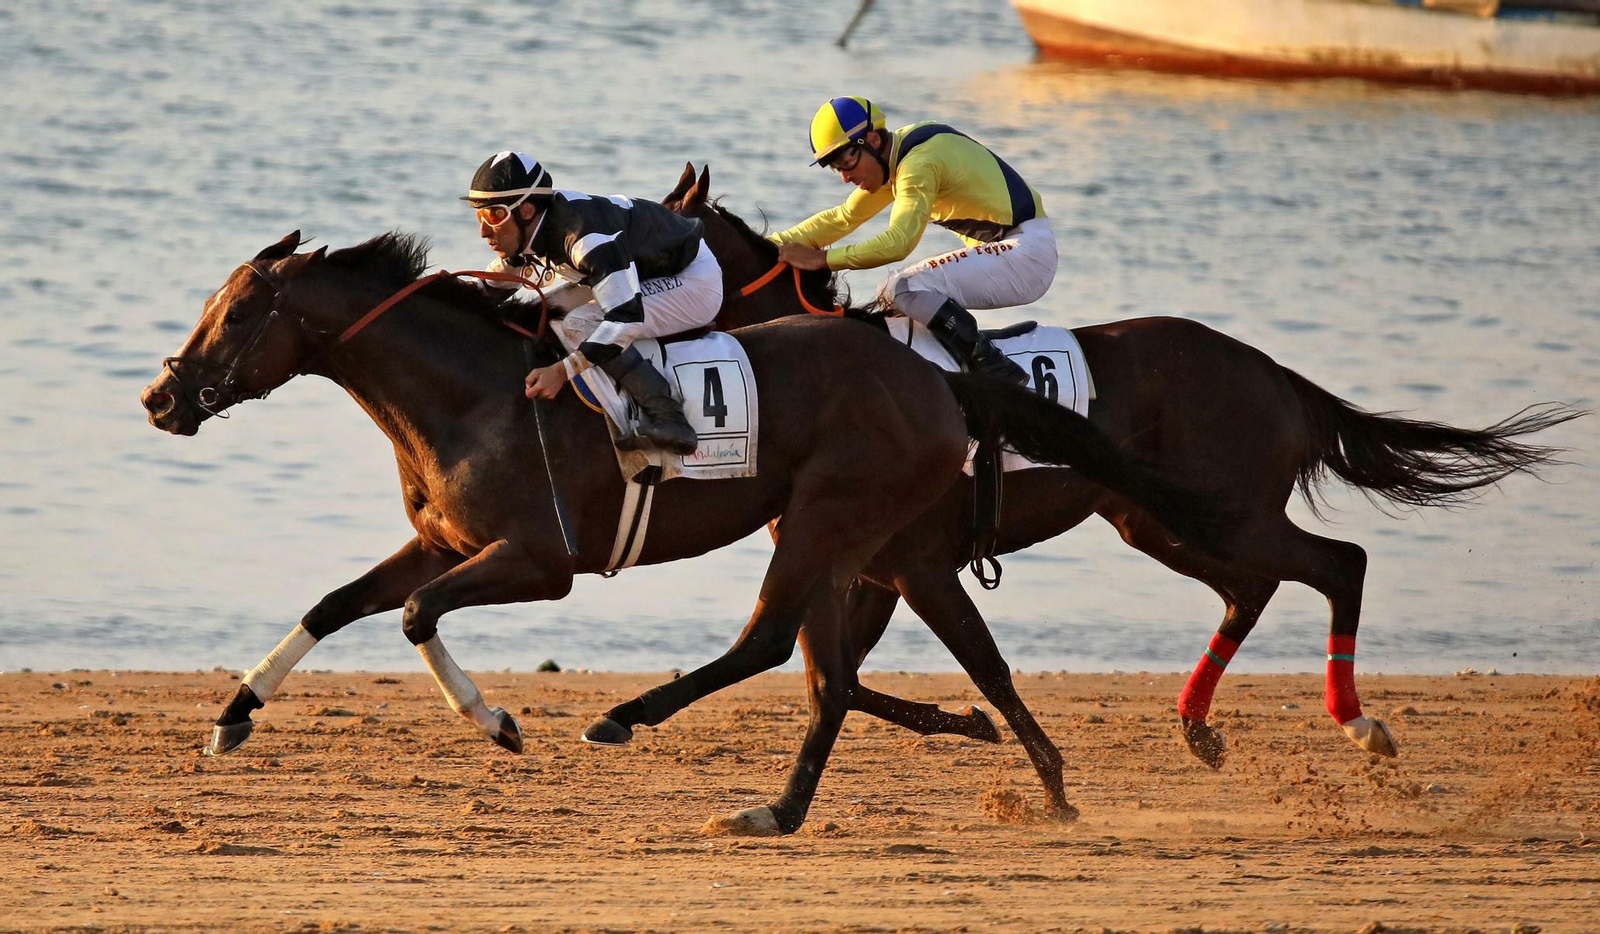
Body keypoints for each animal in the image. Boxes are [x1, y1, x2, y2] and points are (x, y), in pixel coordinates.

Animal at [139, 229, 1233, 835]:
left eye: (235, 314)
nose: (161, 398)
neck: (471, 395)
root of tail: (942, 381)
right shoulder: (447, 540)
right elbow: (336, 603)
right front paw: (232, 716)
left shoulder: (538, 561)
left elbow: (413, 616)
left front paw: (496, 722)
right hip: (844, 538)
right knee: (826, 675)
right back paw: (777, 810)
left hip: (826, 518)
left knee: (774, 644)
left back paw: (630, 719)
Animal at [626, 163, 1582, 781]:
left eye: (647, 247)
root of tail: (1273, 372)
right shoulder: (870, 566)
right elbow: (848, 678)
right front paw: (966, 726)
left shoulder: (912, 561)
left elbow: (961, 666)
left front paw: (1024, 761)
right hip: (1151, 519)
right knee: (1253, 588)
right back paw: (1198, 726)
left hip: (1221, 510)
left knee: (1337, 564)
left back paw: (1358, 723)